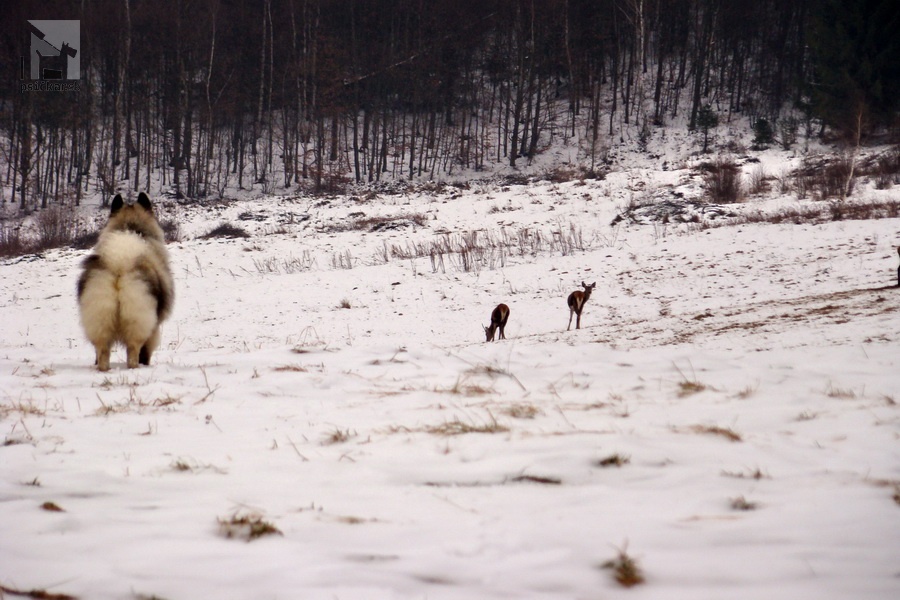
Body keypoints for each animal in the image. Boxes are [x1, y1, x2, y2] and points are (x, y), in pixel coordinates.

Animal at [79, 192, 176, 370]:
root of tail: (119, 263)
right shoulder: (154, 327)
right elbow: (146, 351)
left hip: (99, 318)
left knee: (102, 350)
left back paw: (103, 369)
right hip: (138, 320)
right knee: (133, 350)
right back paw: (135, 367)